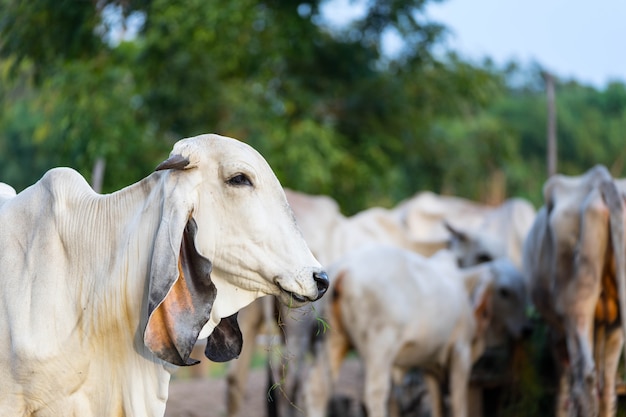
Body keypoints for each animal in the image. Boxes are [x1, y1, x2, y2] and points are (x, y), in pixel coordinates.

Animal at [300, 245, 494, 416]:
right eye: (485, 314)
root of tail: (344, 268)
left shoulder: (430, 363)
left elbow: (437, 402)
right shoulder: (461, 351)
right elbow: (458, 400)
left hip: (333, 339)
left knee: (317, 388)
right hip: (380, 345)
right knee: (375, 393)